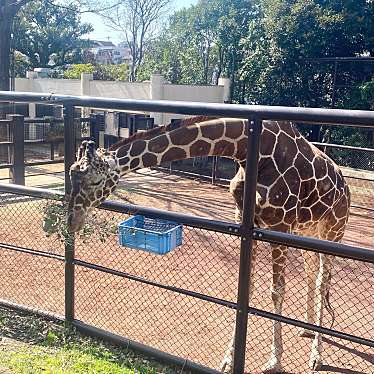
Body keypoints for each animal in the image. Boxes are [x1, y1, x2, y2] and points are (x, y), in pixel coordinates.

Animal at [67, 118, 350, 372]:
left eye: (95, 181)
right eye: (72, 174)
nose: (72, 221)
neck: (248, 152)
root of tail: (344, 184)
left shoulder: (278, 226)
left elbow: (276, 291)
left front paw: (275, 361)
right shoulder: (247, 223)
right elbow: (245, 291)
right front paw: (228, 360)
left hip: (333, 230)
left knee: (322, 280)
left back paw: (316, 355)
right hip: (307, 231)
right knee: (312, 272)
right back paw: (306, 328)